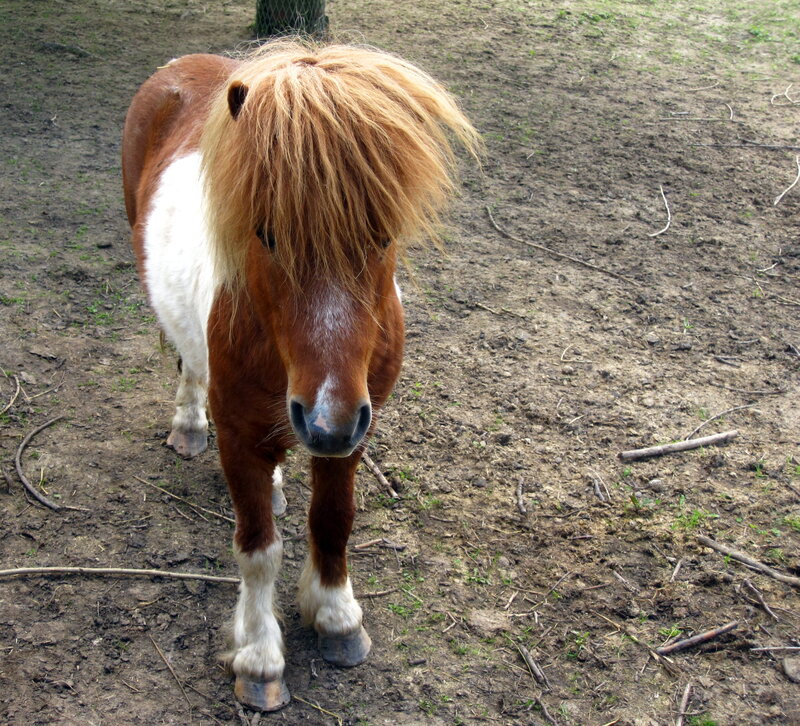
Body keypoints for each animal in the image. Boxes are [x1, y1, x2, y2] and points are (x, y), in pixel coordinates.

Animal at [121, 41, 478, 711]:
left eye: (383, 234)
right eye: (266, 234)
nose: (325, 419)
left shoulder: (353, 431)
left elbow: (333, 520)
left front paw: (336, 617)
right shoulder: (243, 436)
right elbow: (258, 549)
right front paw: (260, 657)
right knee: (187, 363)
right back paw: (188, 425)